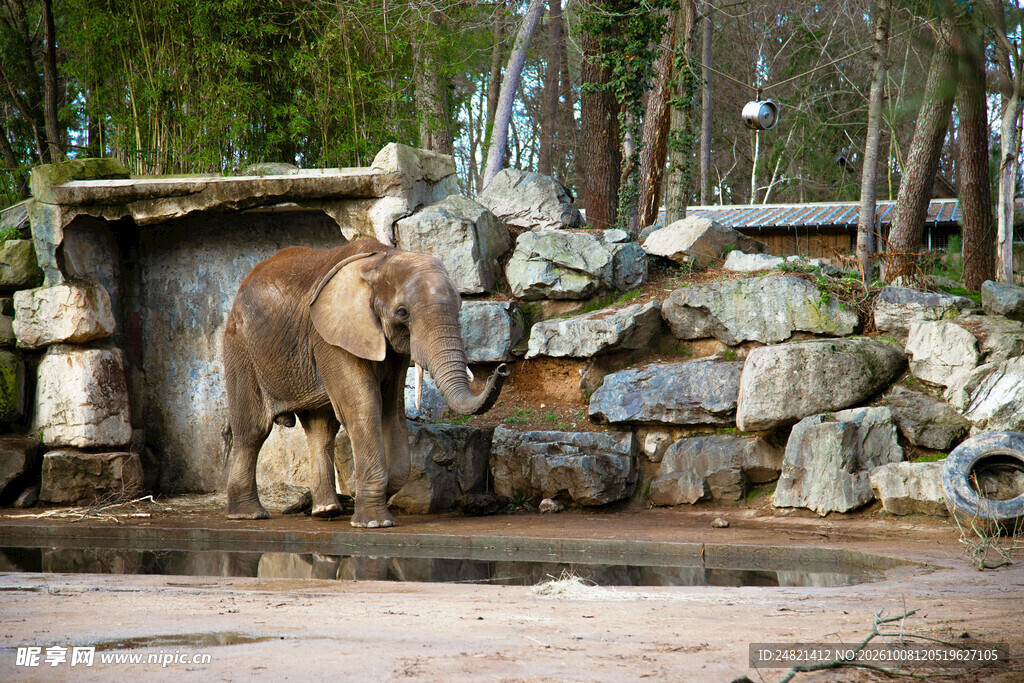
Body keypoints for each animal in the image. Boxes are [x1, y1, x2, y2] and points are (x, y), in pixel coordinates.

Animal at [223, 238, 509, 527]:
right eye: (402, 313)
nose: (502, 369)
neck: (383, 258)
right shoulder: (330, 335)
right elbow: (363, 407)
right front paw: (373, 523)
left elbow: (392, 409)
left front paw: (373, 501)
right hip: (240, 346)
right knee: (253, 429)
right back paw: (249, 514)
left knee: (321, 428)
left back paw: (326, 511)